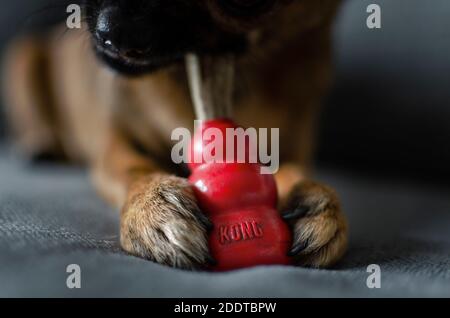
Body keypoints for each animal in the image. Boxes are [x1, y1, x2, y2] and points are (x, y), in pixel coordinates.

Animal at [1, 0, 348, 270]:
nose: (115, 30)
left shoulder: (292, 145)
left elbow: (293, 169)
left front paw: (314, 198)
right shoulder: (112, 146)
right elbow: (133, 166)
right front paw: (150, 205)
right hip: (23, 58)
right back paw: (40, 146)